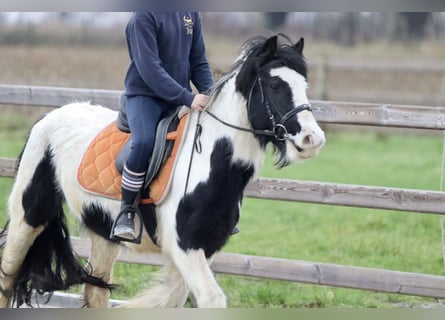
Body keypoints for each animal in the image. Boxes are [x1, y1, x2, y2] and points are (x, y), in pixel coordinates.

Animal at [0, 34, 326, 308]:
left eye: (304, 86)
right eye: (275, 86)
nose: (313, 139)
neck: (211, 163)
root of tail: (47, 117)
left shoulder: (206, 247)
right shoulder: (184, 246)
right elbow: (210, 299)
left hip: (104, 231)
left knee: (95, 292)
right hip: (28, 217)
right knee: (7, 275)